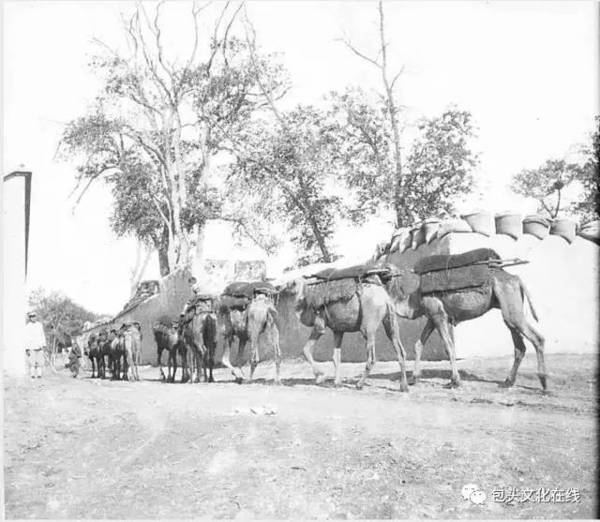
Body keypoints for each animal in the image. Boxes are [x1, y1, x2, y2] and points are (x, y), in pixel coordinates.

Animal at [382, 258, 548, 388]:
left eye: (384, 269)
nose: (375, 273)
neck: (413, 300)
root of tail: (516, 278)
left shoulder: (438, 315)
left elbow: (449, 346)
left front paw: (455, 381)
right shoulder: (432, 317)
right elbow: (418, 345)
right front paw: (414, 378)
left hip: (510, 303)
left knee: (537, 338)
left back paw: (543, 382)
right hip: (509, 305)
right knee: (519, 344)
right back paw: (508, 382)